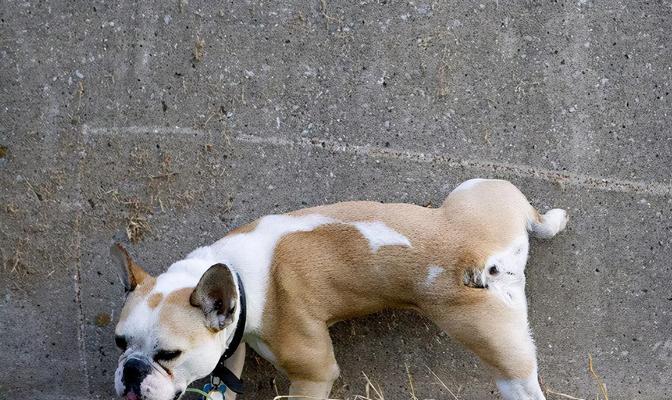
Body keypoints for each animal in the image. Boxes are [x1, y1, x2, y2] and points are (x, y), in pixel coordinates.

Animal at [111, 179, 568, 400]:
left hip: (495, 350)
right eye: (120, 343)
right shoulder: (231, 345)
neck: (236, 277)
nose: (130, 371)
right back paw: (552, 220)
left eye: (169, 355)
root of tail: (481, 256)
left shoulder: (313, 374)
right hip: (481, 190)